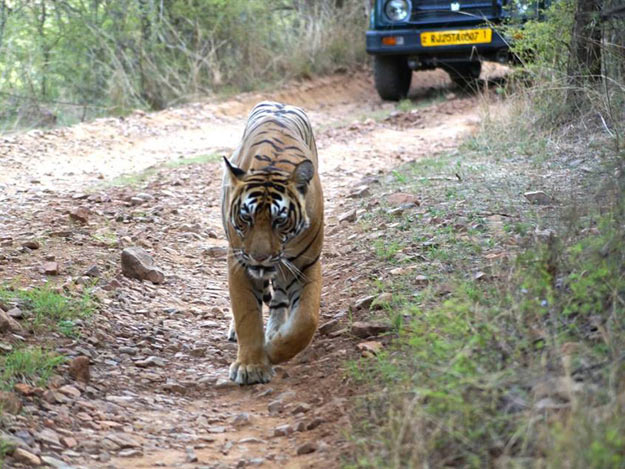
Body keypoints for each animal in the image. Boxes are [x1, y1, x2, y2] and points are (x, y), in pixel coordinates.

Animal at [222, 100, 324, 382]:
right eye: (246, 217)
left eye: (280, 220)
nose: (259, 258)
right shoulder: (239, 263)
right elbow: (246, 314)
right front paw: (250, 366)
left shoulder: (307, 264)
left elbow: (306, 321)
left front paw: (273, 350)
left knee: (279, 299)